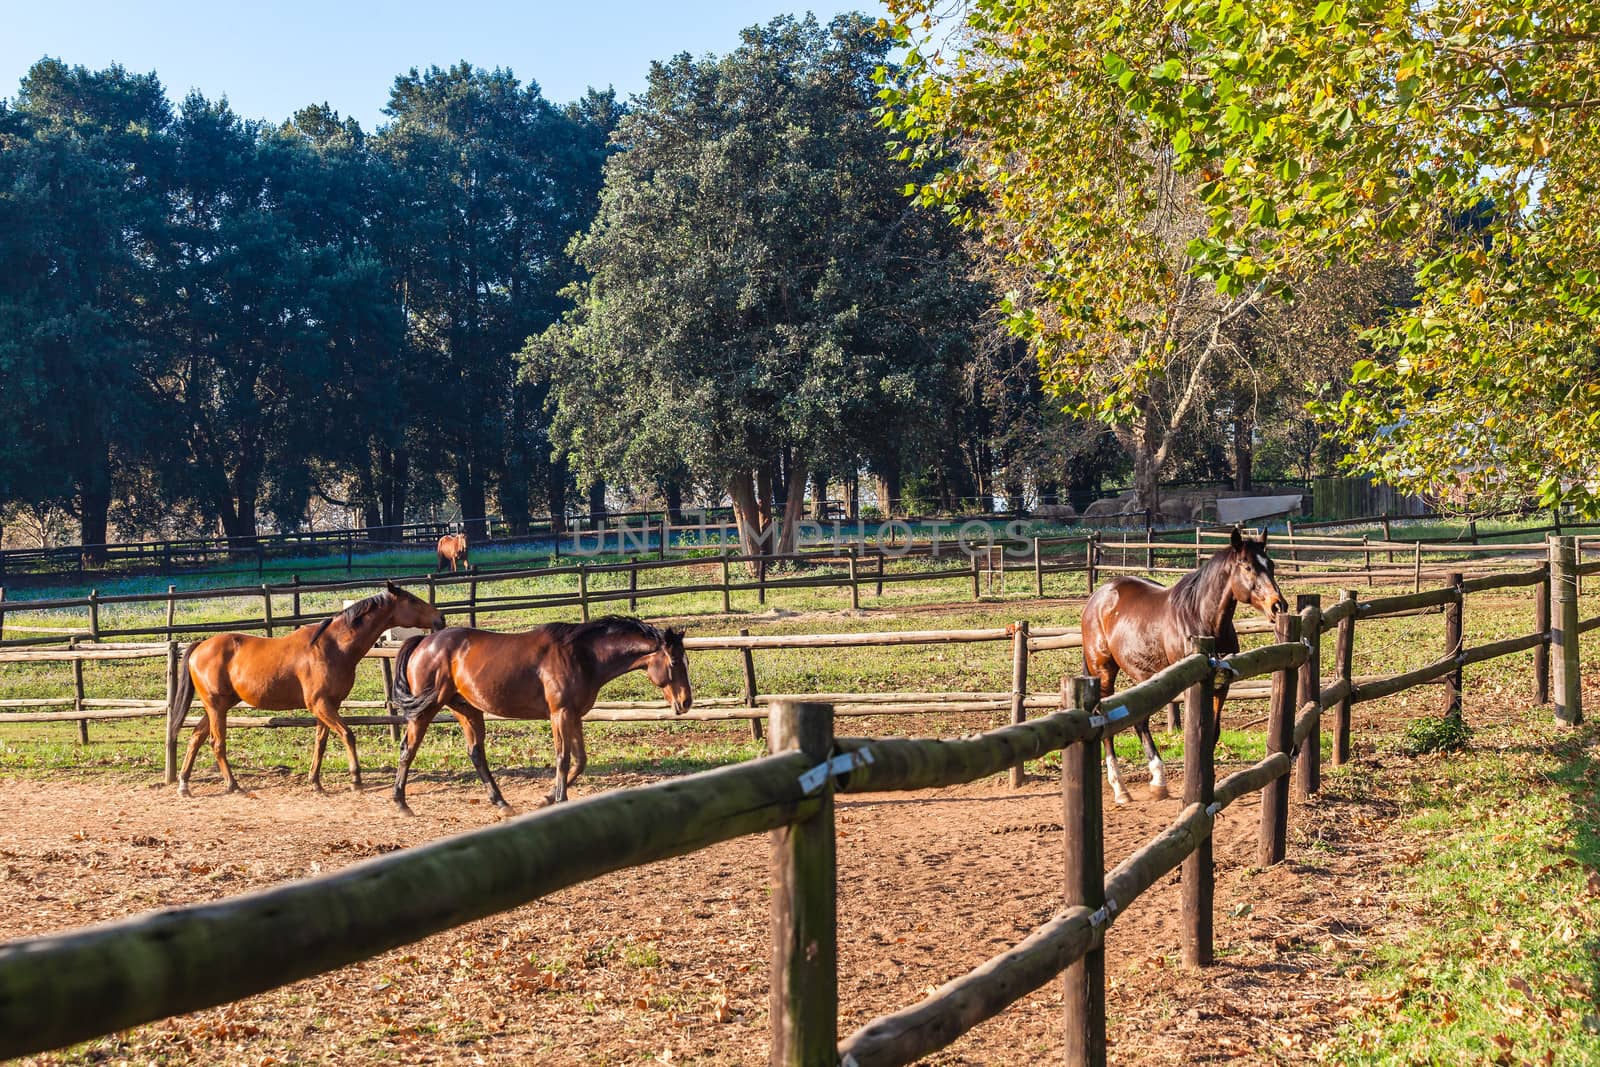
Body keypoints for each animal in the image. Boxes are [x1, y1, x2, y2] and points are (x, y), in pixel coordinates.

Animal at [172, 579, 448, 796]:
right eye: (411, 600)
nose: (440, 618)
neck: (333, 646)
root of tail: (199, 646)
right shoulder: (320, 705)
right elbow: (347, 734)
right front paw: (355, 780)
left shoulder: (327, 705)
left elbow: (321, 742)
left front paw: (315, 782)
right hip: (217, 707)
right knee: (216, 743)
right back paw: (233, 785)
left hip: (217, 707)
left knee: (196, 737)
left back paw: (184, 784)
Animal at [392, 614, 694, 812]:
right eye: (674, 661)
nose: (686, 701)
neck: (582, 656)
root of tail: (423, 642)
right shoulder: (559, 714)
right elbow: (563, 758)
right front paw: (559, 799)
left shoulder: (574, 715)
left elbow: (580, 760)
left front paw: (547, 798)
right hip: (427, 708)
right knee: (408, 748)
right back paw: (401, 803)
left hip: (467, 710)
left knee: (476, 753)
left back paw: (502, 803)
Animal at [1075, 531, 1286, 806]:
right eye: (1248, 567)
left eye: (1270, 565)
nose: (1278, 606)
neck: (1202, 619)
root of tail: (1098, 596)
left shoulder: (1222, 686)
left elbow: (1213, 733)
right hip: (1103, 671)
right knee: (1108, 725)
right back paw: (1121, 788)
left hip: (1144, 676)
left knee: (1140, 722)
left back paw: (1158, 780)